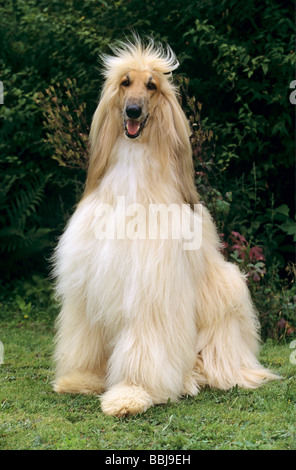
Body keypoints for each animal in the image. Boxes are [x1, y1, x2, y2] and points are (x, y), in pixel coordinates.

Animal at [52, 37, 278, 418]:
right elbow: (87, 337)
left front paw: (131, 393)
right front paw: (82, 378)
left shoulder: (152, 288)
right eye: (125, 82)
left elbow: (145, 347)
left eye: (152, 86)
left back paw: (191, 379)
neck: (133, 170)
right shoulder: (90, 284)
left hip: (227, 291)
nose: (132, 112)